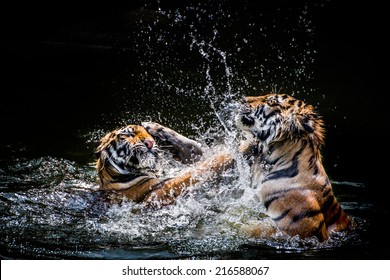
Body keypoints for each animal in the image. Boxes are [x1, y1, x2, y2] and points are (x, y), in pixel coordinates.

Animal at [94, 121, 236, 209]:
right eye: (128, 135)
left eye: (147, 134)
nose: (150, 143)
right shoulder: (162, 191)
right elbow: (200, 170)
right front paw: (231, 152)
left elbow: (195, 150)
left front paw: (155, 127)